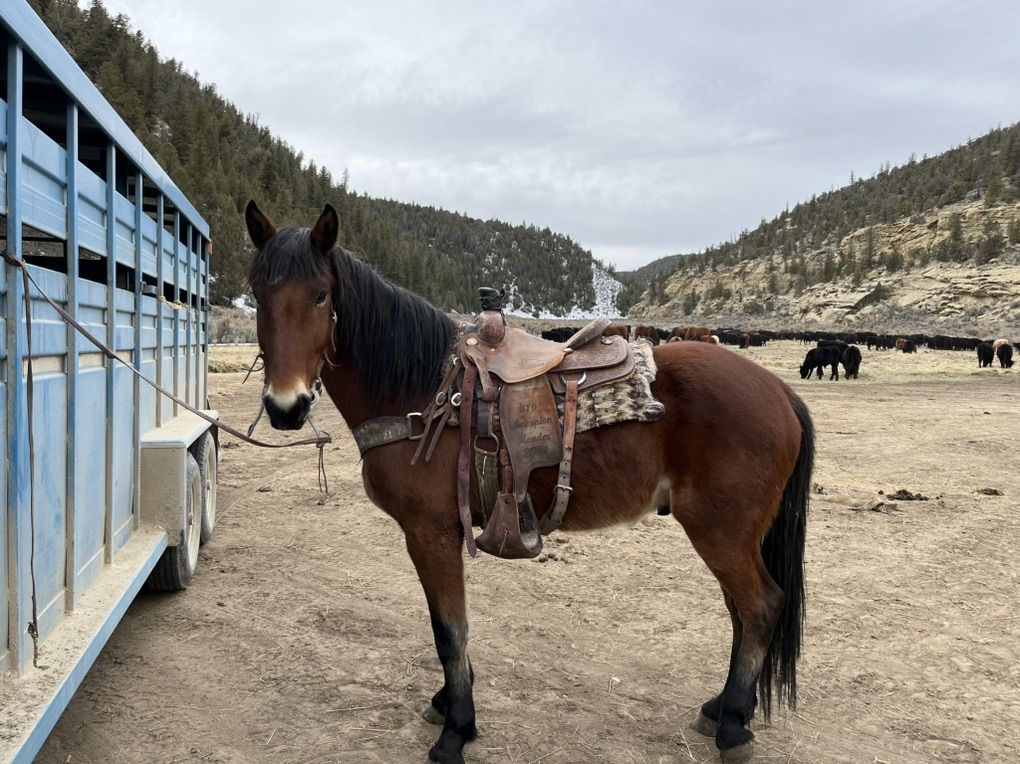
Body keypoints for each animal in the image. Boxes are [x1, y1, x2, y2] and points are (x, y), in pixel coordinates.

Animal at [245, 202, 814, 764]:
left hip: (721, 531)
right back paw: (721, 708)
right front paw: (447, 703)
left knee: (759, 606)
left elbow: (449, 631)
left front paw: (456, 731)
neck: (421, 392)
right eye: (257, 294)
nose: (286, 407)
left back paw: (734, 727)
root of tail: (780, 391)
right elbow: (445, 626)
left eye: (321, 295)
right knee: (740, 611)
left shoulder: (430, 533)